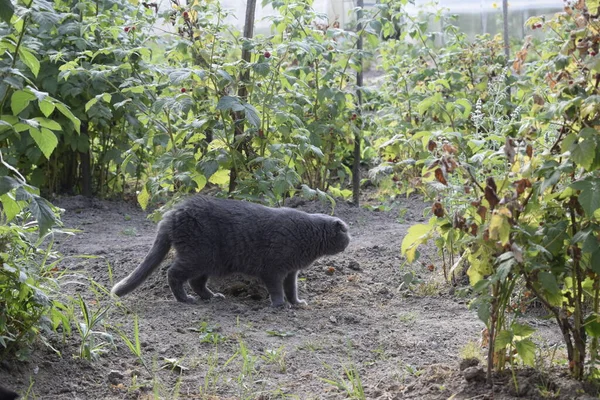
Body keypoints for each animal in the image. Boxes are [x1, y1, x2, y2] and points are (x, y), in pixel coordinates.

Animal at [110, 196, 350, 306]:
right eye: (346, 232)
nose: (350, 239)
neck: (307, 235)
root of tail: (173, 213)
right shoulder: (273, 270)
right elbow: (276, 289)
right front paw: (280, 304)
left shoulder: (291, 272)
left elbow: (292, 289)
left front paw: (296, 303)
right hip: (198, 255)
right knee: (173, 274)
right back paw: (185, 299)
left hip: (209, 261)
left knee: (196, 282)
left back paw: (211, 296)